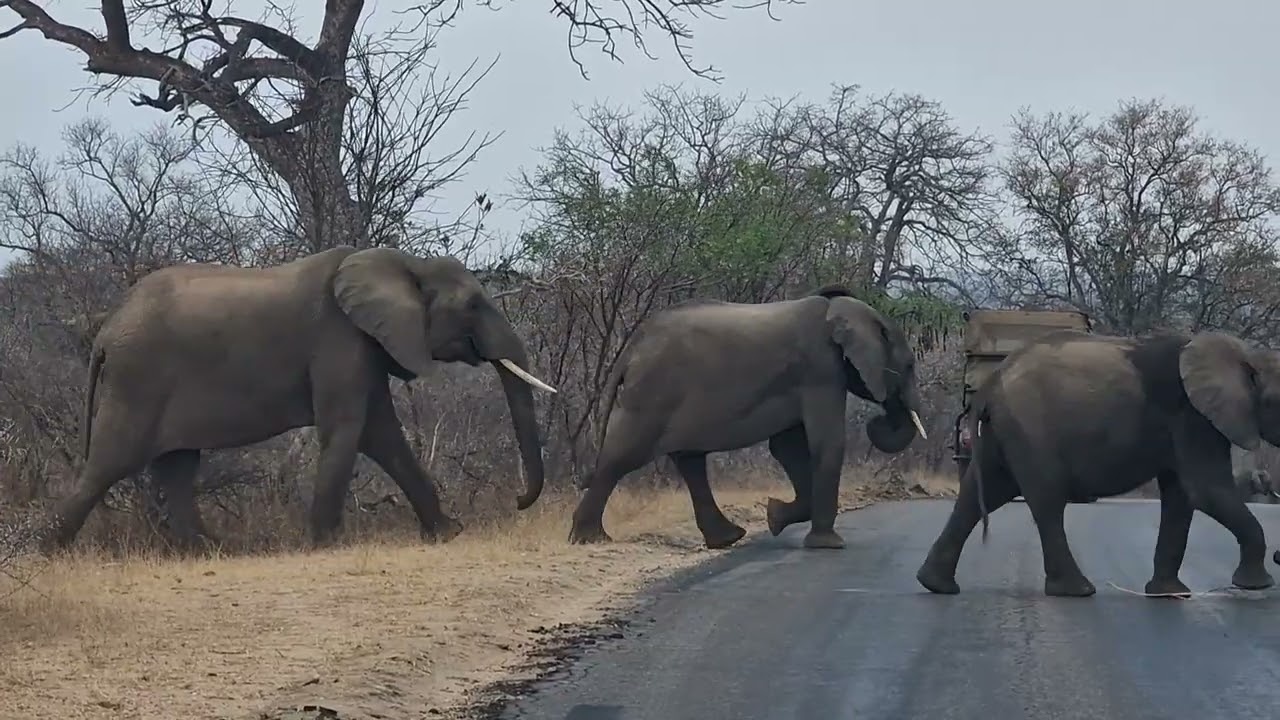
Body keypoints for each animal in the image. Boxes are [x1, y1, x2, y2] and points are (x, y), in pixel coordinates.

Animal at [41, 246, 557, 551]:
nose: (518, 500)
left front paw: (449, 534)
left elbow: (382, 435)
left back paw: (212, 551)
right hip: (138, 379)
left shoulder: (366, 345)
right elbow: (349, 430)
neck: (403, 263)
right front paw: (326, 545)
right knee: (110, 463)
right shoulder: (338, 339)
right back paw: (48, 552)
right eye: (473, 305)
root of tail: (106, 328)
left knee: (177, 465)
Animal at [569, 285, 928, 550]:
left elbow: (787, 448)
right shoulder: (820, 369)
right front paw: (828, 545)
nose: (878, 421)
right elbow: (826, 443)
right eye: (910, 366)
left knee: (689, 461)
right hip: (652, 393)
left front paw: (774, 516)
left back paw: (727, 538)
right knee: (622, 457)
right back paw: (590, 539)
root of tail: (633, 346)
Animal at [916, 328, 1280, 598]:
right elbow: (1206, 490)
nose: (1279, 557)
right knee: (1046, 499)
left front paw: (1170, 594)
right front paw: (1256, 586)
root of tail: (989, 384)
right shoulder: (1193, 416)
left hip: (1002, 431)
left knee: (983, 493)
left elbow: (1181, 495)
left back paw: (936, 584)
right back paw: (1077, 591)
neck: (1248, 355)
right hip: (1031, 427)